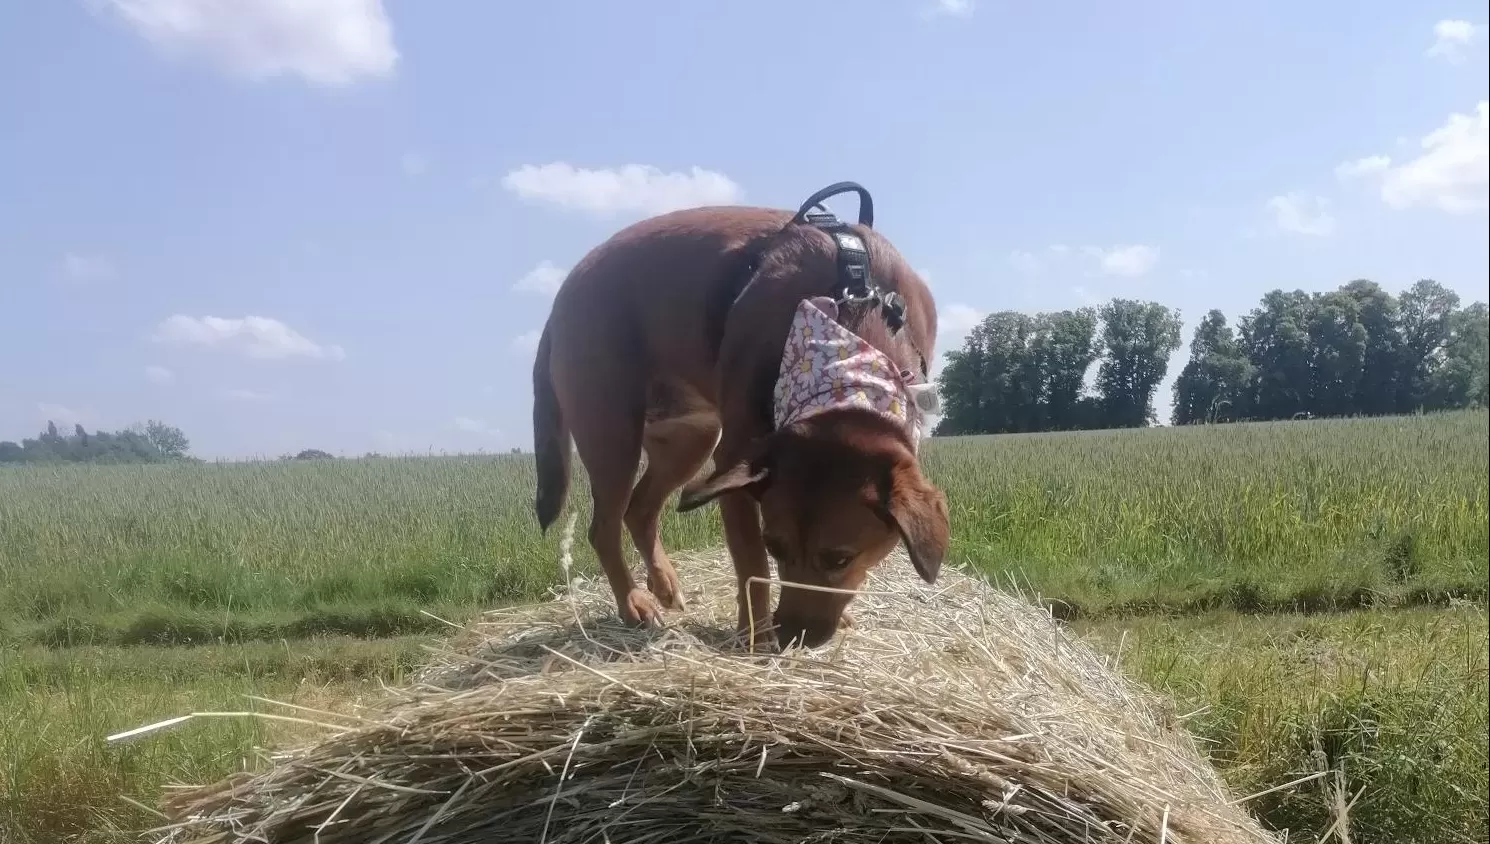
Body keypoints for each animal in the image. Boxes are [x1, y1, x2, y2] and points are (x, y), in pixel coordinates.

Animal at [536, 181, 947, 653]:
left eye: (841, 558)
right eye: (776, 546)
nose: (793, 635)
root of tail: (560, 300)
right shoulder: (734, 466)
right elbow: (752, 568)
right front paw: (755, 634)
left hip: (689, 440)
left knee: (639, 510)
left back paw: (664, 584)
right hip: (613, 436)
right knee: (603, 527)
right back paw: (634, 604)